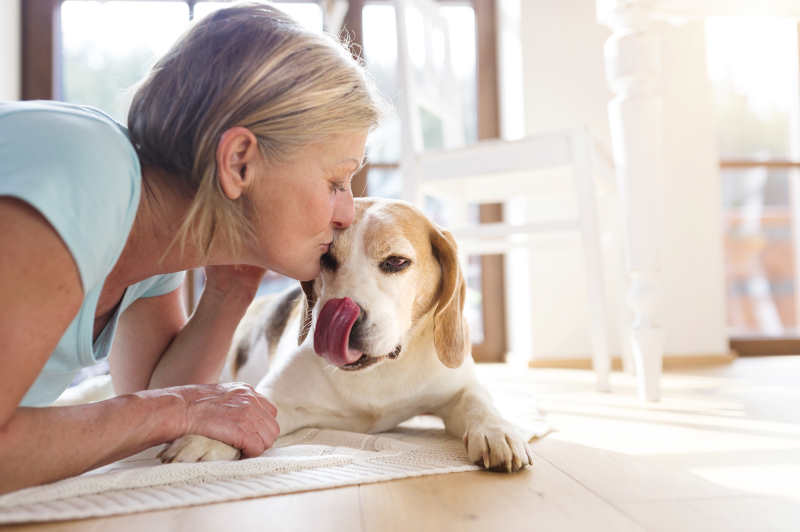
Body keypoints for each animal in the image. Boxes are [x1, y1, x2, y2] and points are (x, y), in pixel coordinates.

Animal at [160, 197, 536, 472]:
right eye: (325, 258)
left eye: (396, 262)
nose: (344, 321)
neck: (382, 370)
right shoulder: (278, 395)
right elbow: (248, 408)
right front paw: (210, 437)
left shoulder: (457, 387)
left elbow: (478, 400)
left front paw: (497, 431)